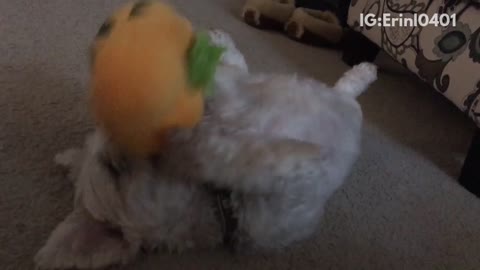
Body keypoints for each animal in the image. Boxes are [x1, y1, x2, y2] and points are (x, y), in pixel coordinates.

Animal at [34, 29, 378, 268]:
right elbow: (232, 157)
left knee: (335, 87)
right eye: (115, 168)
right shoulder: (282, 200)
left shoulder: (230, 100)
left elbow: (222, 87)